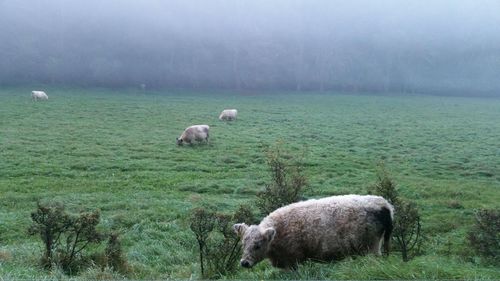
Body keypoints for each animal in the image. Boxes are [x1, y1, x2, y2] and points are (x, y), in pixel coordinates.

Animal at [234, 194, 394, 268]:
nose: (244, 262)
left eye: (257, 246)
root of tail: (384, 204)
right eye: (243, 245)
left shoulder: (294, 260)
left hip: (372, 248)